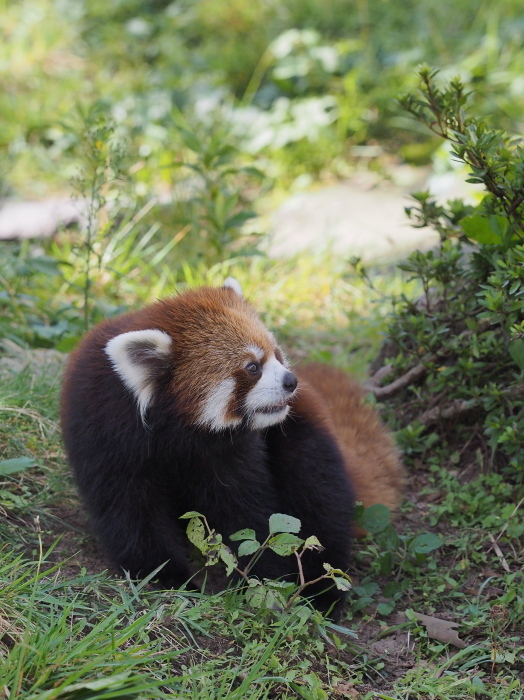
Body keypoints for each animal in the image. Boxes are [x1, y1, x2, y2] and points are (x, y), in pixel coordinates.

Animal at [62, 278, 406, 612]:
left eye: (277, 354)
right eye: (252, 367)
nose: (291, 381)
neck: (176, 430)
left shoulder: (231, 451)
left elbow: (246, 511)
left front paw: (260, 581)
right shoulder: (102, 429)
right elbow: (128, 510)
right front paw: (165, 577)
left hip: (302, 432)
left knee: (319, 497)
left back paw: (322, 589)